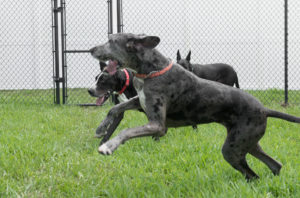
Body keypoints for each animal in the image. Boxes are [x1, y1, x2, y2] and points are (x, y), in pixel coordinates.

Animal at [89, 33, 300, 180]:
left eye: (110, 41)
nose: (91, 49)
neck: (151, 70)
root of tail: (264, 110)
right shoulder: (138, 101)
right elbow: (115, 109)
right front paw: (100, 129)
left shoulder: (158, 125)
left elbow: (126, 130)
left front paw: (108, 146)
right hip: (248, 143)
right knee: (275, 165)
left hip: (233, 148)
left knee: (253, 176)